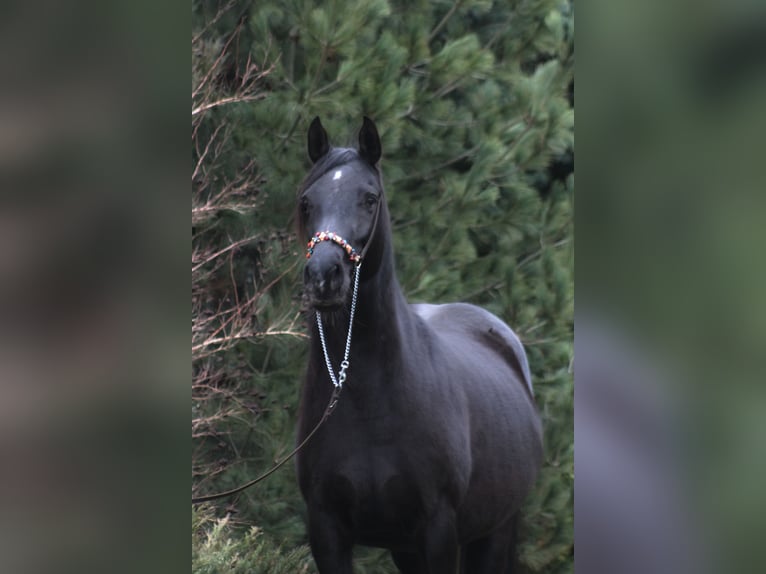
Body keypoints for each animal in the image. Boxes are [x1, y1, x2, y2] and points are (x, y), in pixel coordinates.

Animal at [296, 118, 544, 574]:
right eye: (307, 201)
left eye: (369, 198)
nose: (324, 276)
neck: (369, 400)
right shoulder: (327, 530)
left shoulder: (437, 529)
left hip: (495, 530)